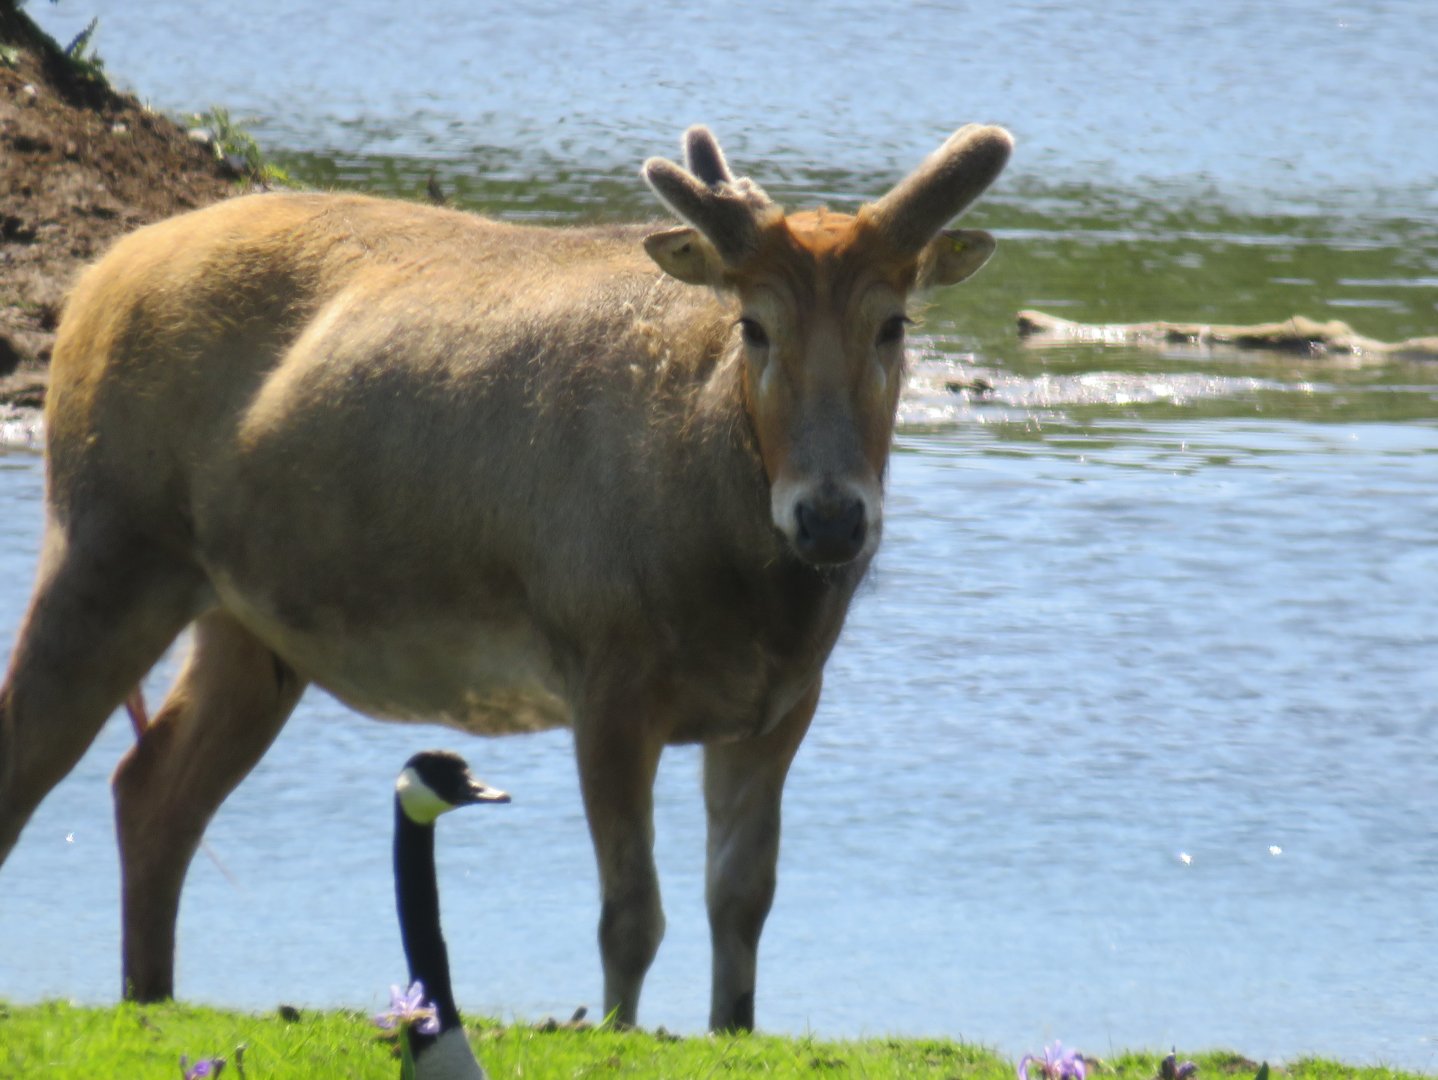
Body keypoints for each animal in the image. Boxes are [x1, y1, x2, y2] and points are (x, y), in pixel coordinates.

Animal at [0, 122, 1012, 1031]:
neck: (747, 596)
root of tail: (92, 280)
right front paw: (615, 1029)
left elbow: (743, 905)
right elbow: (629, 917)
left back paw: (149, 995)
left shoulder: (781, 705)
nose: (830, 516)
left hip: (251, 623)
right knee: (34, 756)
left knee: (151, 790)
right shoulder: (605, 670)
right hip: (107, 536)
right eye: (754, 325)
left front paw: (731, 1024)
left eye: (894, 324)